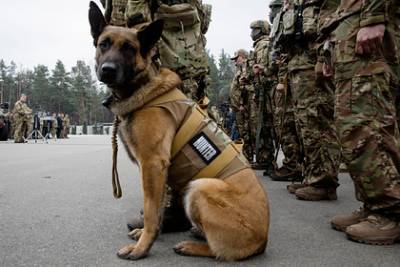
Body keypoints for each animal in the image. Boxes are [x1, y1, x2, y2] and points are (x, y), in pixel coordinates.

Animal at [87, 1, 268, 262]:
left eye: (129, 48)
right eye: (104, 44)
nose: (107, 70)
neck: (142, 86)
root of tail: (263, 240)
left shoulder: (152, 163)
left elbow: (151, 211)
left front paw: (142, 247)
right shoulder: (157, 171)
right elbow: (157, 208)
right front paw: (145, 234)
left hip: (199, 187)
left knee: (220, 251)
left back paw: (192, 246)